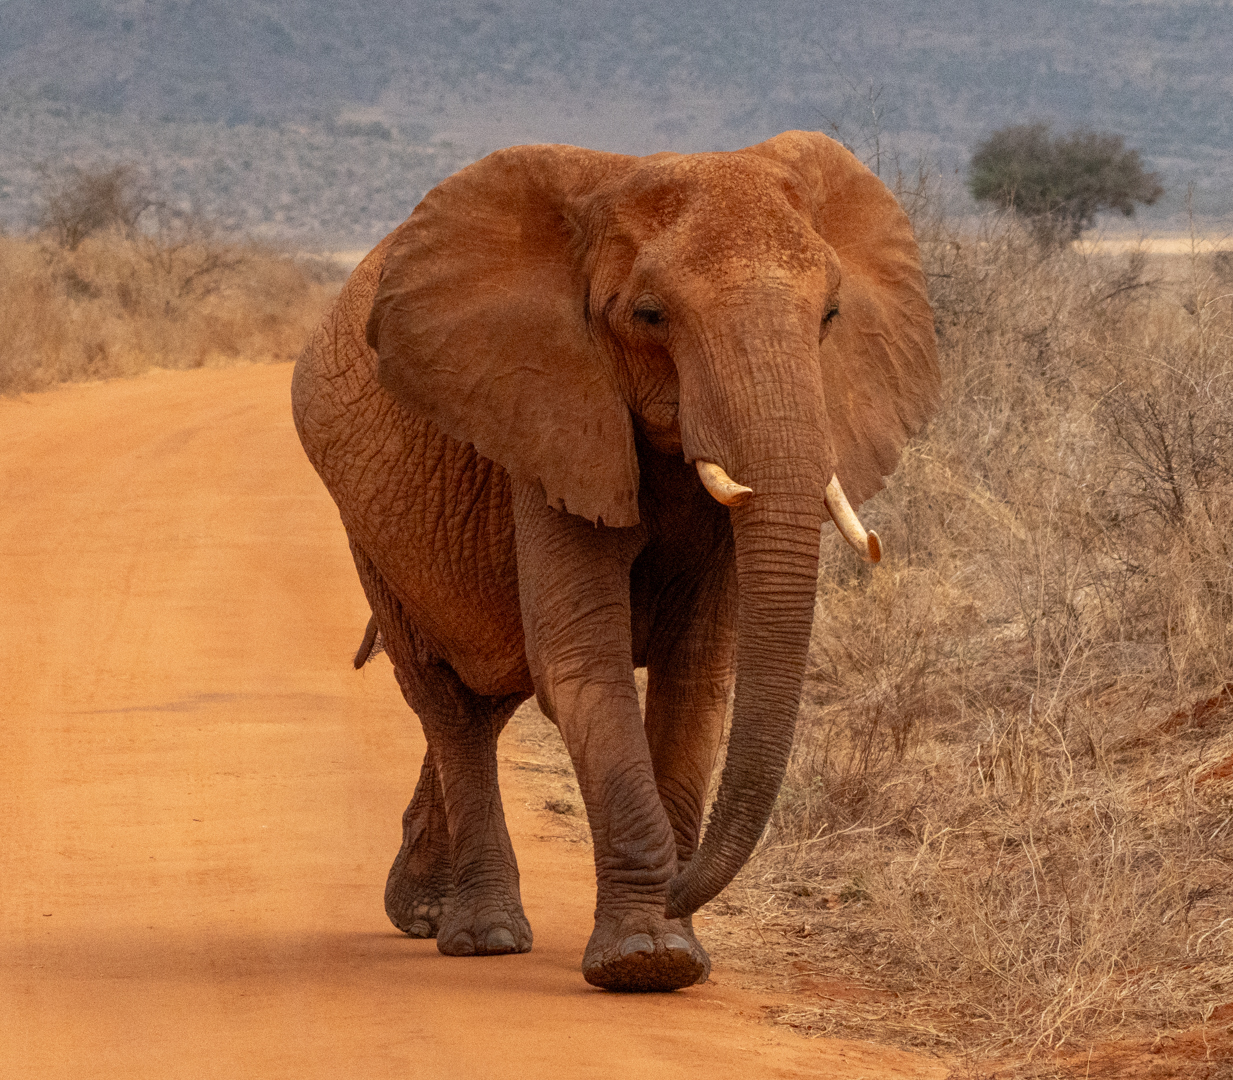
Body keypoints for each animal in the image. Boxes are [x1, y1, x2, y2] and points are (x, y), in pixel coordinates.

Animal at [291, 129, 939, 992]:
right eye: (649, 316)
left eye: (830, 315)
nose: (679, 882)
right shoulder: (548, 414)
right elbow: (581, 666)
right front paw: (645, 959)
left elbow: (697, 674)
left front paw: (675, 950)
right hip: (369, 526)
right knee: (448, 701)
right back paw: (480, 934)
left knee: (491, 693)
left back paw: (421, 911)